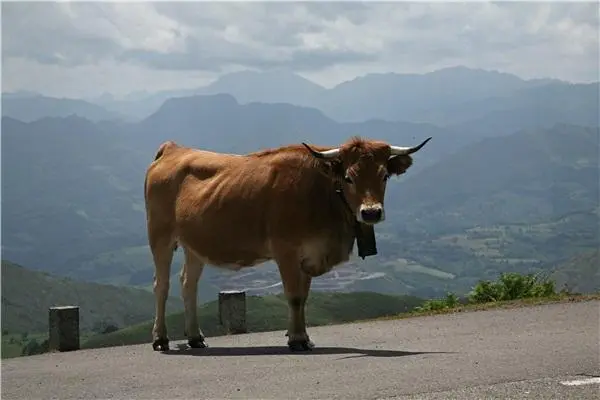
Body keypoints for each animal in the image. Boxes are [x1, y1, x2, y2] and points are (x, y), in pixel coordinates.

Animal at [143, 136, 428, 352]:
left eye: (384, 176)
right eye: (349, 177)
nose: (371, 212)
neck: (323, 192)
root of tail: (174, 149)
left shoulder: (310, 253)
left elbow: (303, 297)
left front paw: (303, 337)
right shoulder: (286, 251)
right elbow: (293, 296)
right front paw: (298, 340)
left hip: (195, 244)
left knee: (188, 284)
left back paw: (195, 337)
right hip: (160, 236)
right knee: (162, 285)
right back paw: (160, 338)